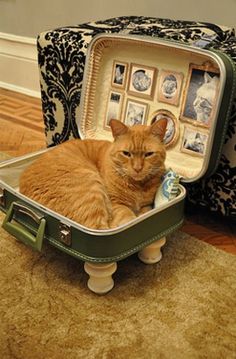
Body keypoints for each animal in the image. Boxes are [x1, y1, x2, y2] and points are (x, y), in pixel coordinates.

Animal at [19, 119, 167, 229]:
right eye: (126, 153)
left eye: (149, 154)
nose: (137, 168)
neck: (138, 186)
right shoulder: (116, 204)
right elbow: (128, 218)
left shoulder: (147, 206)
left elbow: (144, 212)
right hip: (91, 187)